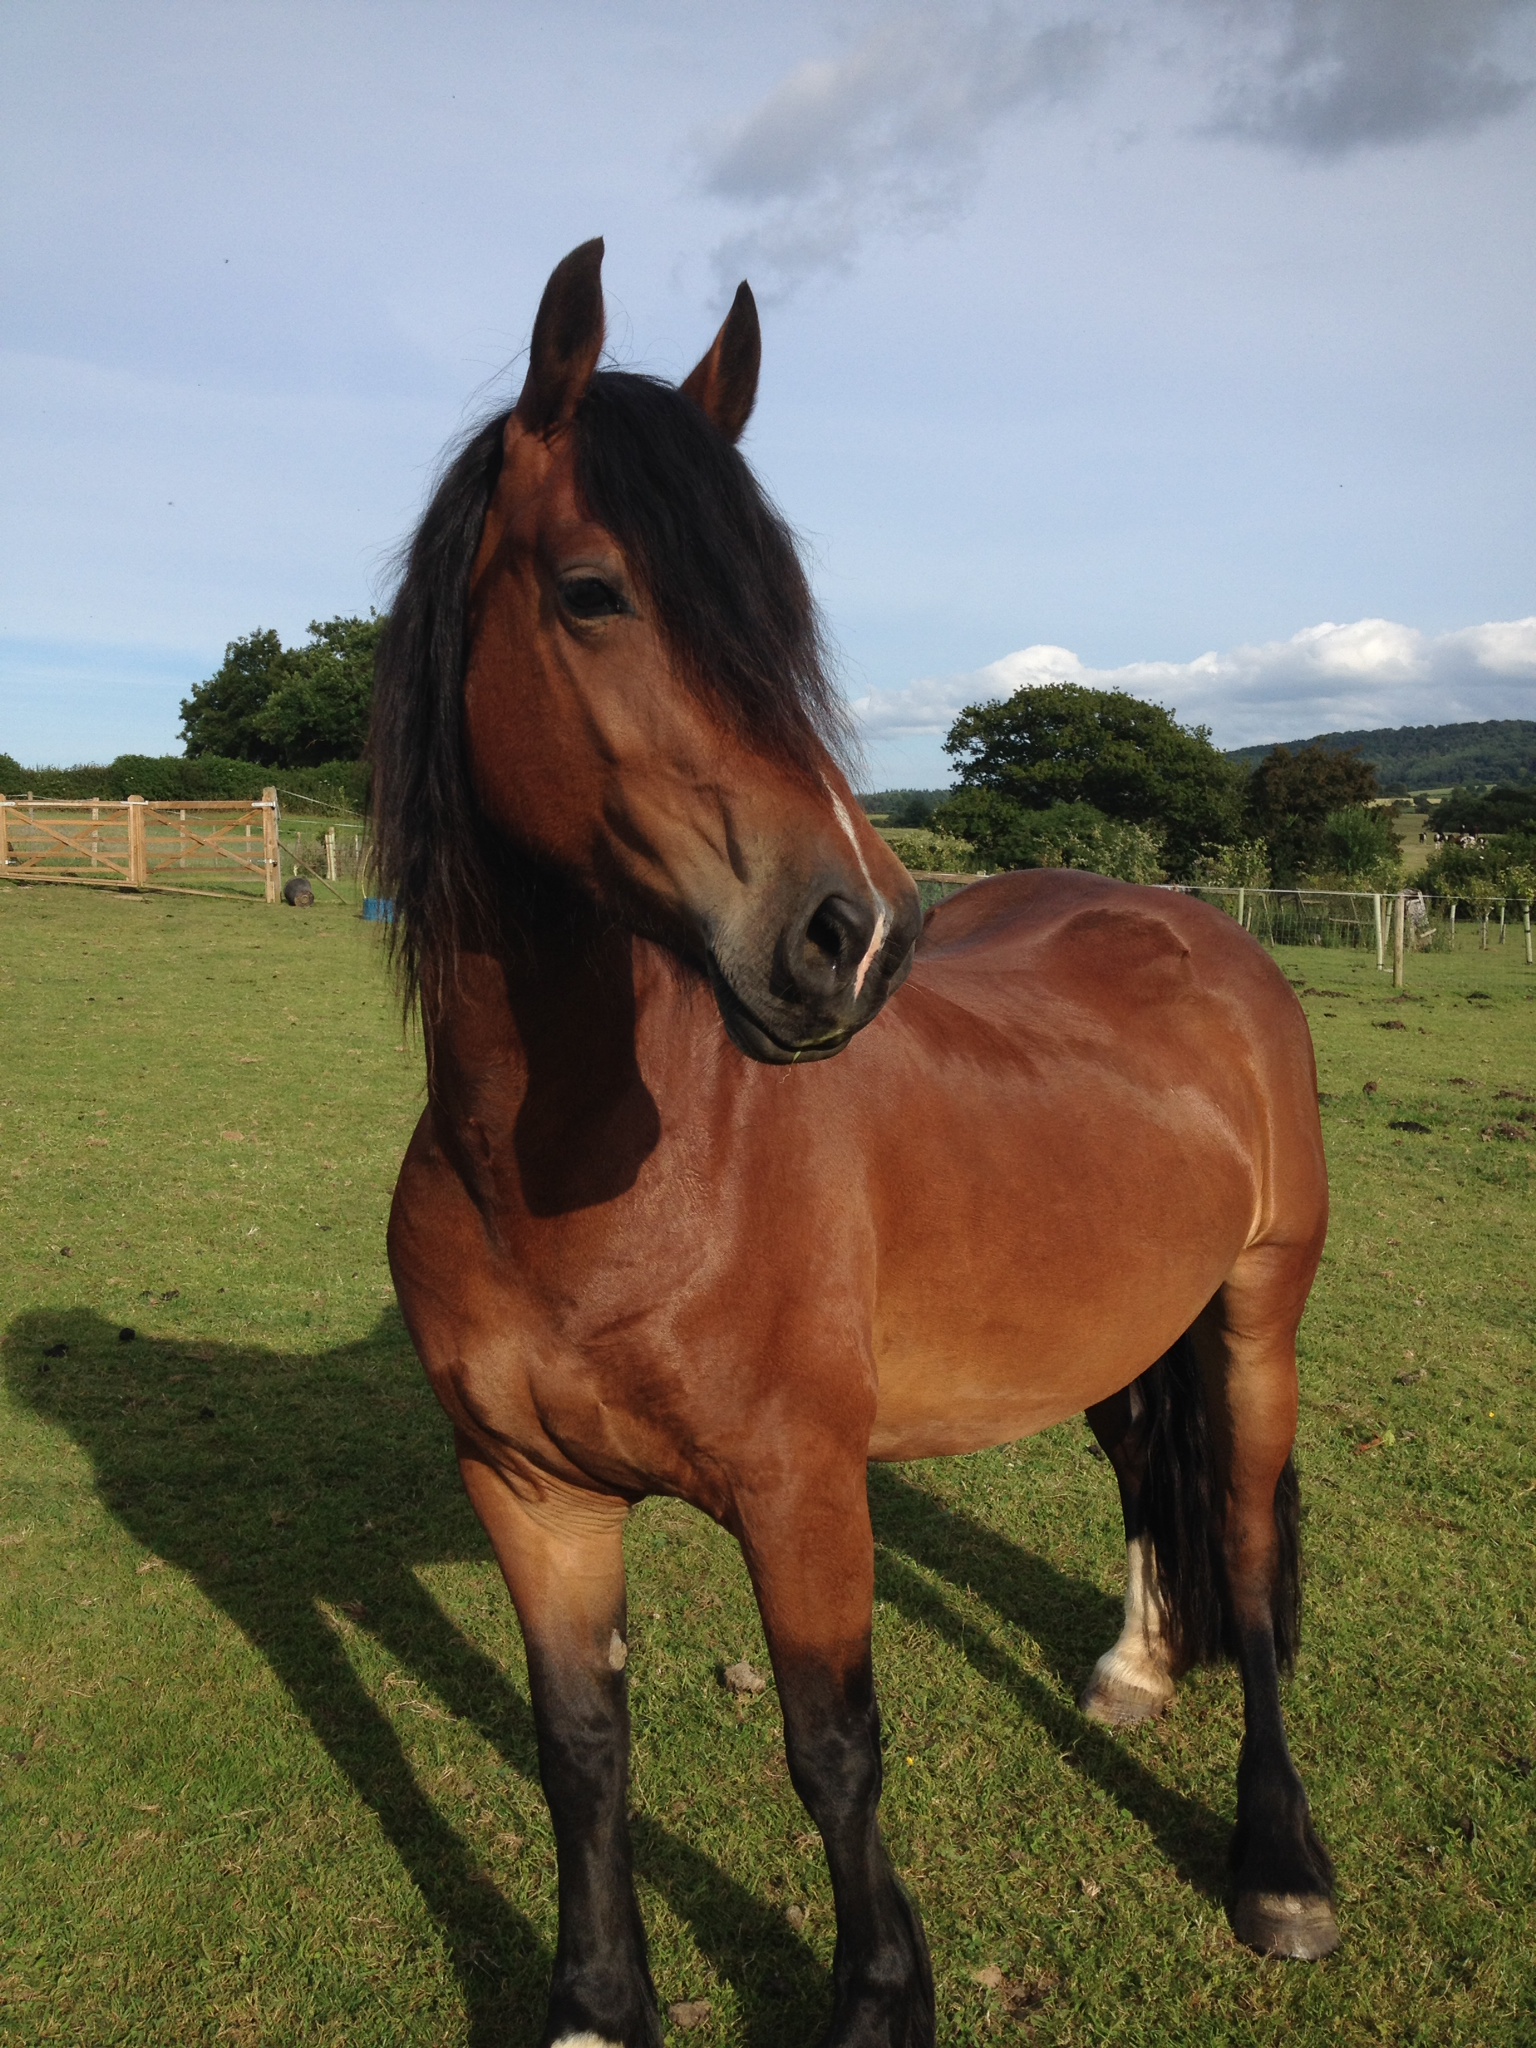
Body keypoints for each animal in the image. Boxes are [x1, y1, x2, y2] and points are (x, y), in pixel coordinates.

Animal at [370, 239, 1339, 2048]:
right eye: (594, 591)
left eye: (777, 615)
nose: (855, 935)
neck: (582, 1178)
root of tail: (1196, 928)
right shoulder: (529, 1491)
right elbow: (579, 1747)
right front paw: (597, 2004)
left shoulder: (802, 1491)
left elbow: (832, 1752)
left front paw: (882, 1997)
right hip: (1120, 1317)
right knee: (1146, 1468)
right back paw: (1134, 1667)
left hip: (1257, 1312)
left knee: (1245, 1553)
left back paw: (1281, 1865)